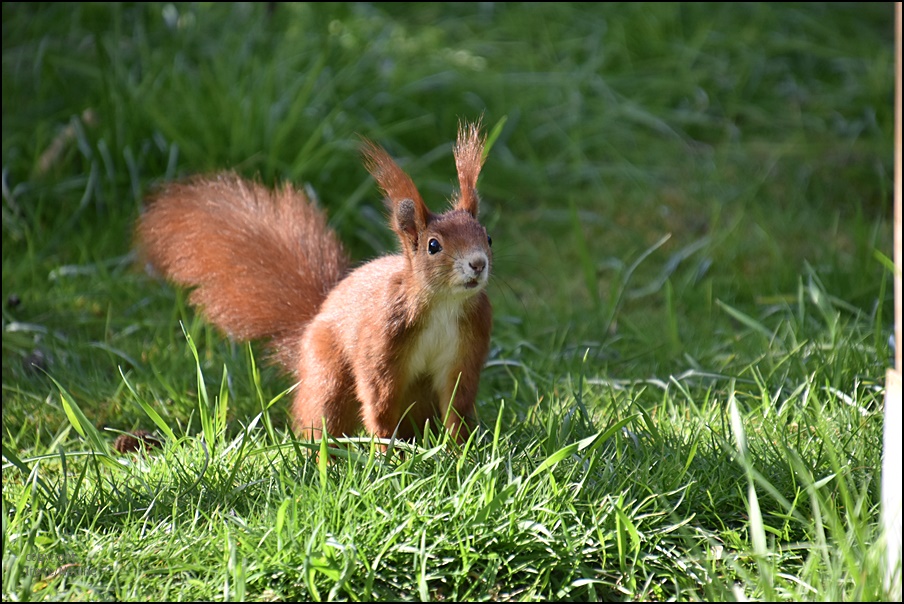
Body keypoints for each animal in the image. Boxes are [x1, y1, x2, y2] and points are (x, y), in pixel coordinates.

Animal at [139, 124, 494, 444]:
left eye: (488, 237)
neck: (444, 304)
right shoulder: (382, 337)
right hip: (328, 372)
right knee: (325, 411)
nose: (478, 263)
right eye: (434, 245)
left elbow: (457, 402)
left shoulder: (467, 345)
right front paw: (389, 452)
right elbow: (378, 400)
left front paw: (460, 450)